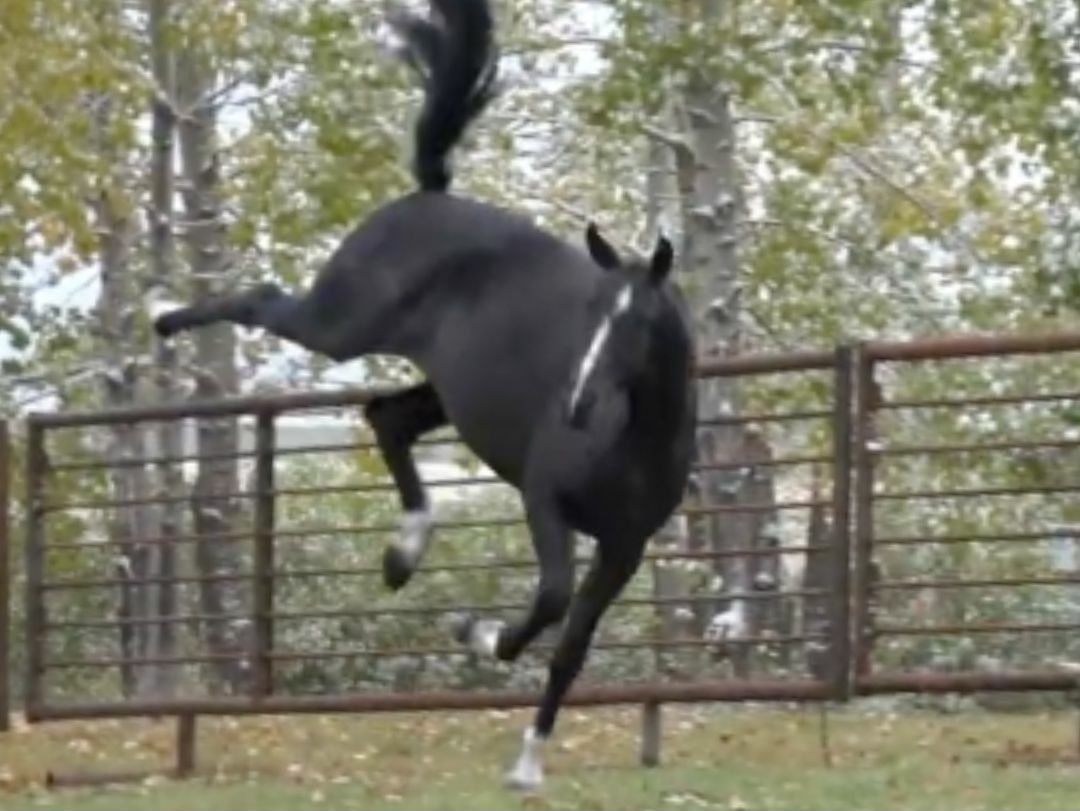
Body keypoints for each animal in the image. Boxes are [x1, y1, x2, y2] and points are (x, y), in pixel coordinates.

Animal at [153, 0, 697, 790]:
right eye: (590, 310)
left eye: (639, 325)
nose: (576, 407)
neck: (633, 441)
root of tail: (426, 197)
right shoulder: (545, 499)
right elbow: (550, 599)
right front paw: (476, 633)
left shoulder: (624, 548)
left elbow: (570, 649)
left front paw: (528, 763)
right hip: (339, 325)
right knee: (265, 302)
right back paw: (161, 318)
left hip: (443, 391)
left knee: (387, 418)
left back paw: (401, 556)